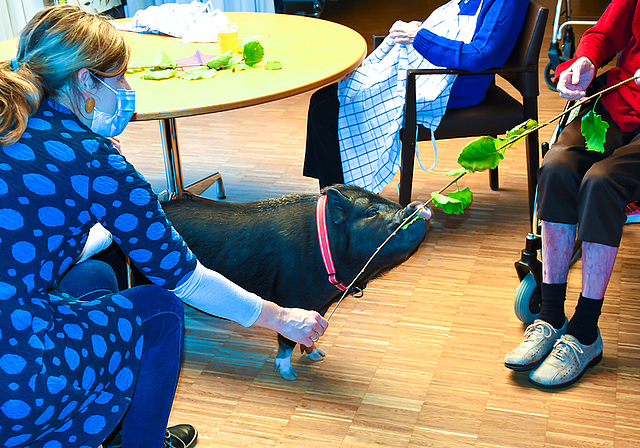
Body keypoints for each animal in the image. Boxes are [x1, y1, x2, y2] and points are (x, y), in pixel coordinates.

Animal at [160, 184, 430, 380]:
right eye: (371, 212)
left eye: (396, 204)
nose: (415, 206)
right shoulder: (294, 297)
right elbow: (286, 340)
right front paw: (290, 375)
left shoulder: (321, 304)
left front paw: (318, 355)